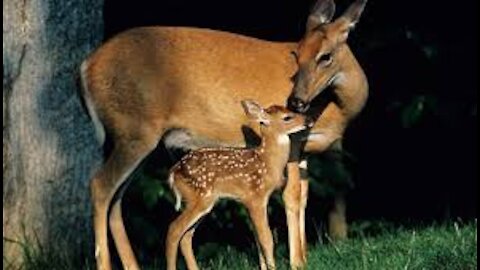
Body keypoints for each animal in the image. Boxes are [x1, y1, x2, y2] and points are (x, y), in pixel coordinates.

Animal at [81, 1, 368, 268]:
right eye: (296, 55)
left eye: (326, 56)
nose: (296, 102)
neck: (337, 108)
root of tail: (85, 68)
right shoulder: (295, 142)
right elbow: (292, 196)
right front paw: (297, 261)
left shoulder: (304, 149)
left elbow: (304, 196)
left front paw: (302, 257)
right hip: (135, 130)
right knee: (100, 185)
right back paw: (104, 263)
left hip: (137, 140)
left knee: (117, 198)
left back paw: (132, 265)